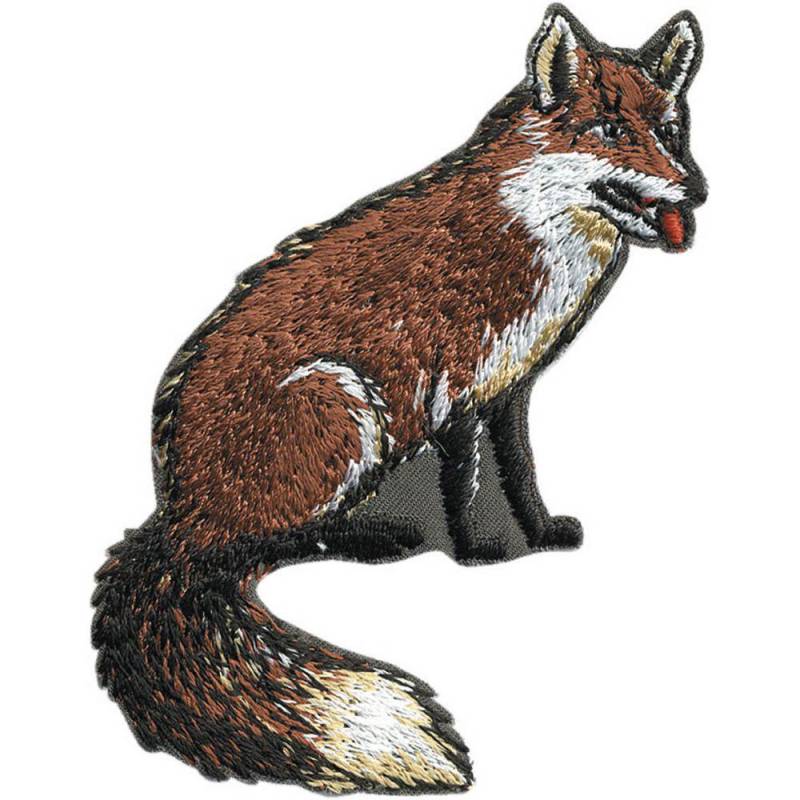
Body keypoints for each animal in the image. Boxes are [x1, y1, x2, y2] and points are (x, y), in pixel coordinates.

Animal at [93, 5, 706, 795]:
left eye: (670, 130)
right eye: (607, 130)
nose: (695, 191)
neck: (536, 232)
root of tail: (176, 519)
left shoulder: (510, 389)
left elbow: (519, 473)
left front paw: (540, 535)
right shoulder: (455, 382)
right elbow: (465, 484)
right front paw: (478, 555)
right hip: (343, 407)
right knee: (261, 547)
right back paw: (368, 538)